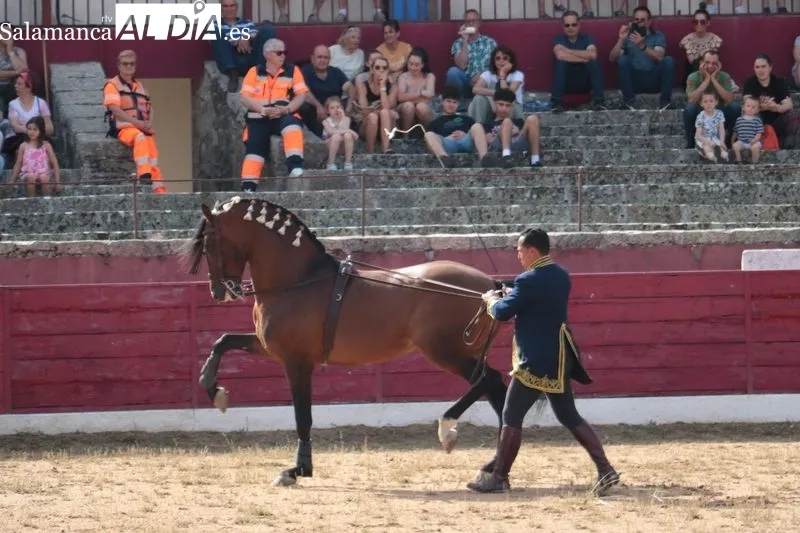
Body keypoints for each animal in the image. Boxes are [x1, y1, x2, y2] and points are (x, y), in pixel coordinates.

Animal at [184, 196, 509, 486]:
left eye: (209, 244)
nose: (219, 292)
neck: (300, 281)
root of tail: (489, 288)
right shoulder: (269, 348)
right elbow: (223, 341)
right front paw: (215, 390)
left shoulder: (296, 361)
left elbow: (303, 416)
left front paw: (297, 470)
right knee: (497, 393)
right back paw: (492, 469)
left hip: (446, 351)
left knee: (489, 380)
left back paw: (448, 429)